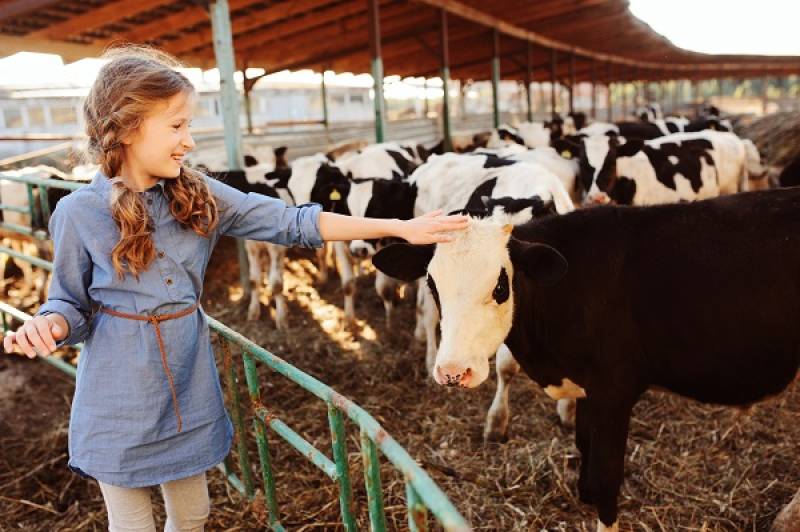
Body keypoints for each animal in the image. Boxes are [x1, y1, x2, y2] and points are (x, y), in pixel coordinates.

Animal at [372, 187, 800, 531]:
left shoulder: (614, 391)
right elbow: (584, 445)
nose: (452, 371)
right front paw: (583, 493)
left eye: (500, 286)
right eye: (432, 283)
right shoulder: (587, 388)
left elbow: (607, 474)